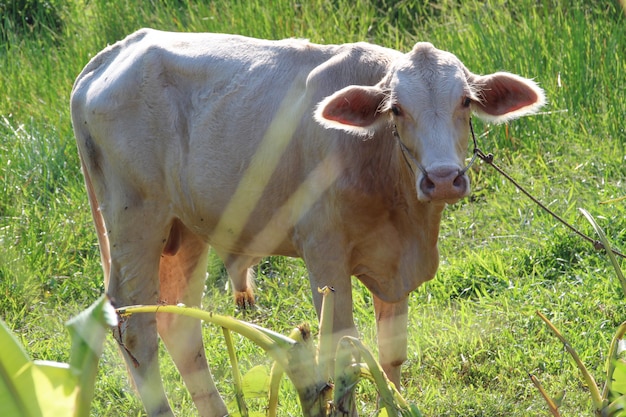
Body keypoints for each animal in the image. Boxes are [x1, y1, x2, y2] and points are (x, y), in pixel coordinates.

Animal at [70, 27, 544, 414]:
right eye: (396, 109)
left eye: (465, 101)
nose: (444, 178)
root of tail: (115, 53)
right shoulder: (324, 254)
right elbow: (343, 358)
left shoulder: (395, 264)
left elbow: (390, 356)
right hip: (135, 222)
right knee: (135, 329)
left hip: (183, 231)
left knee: (178, 323)